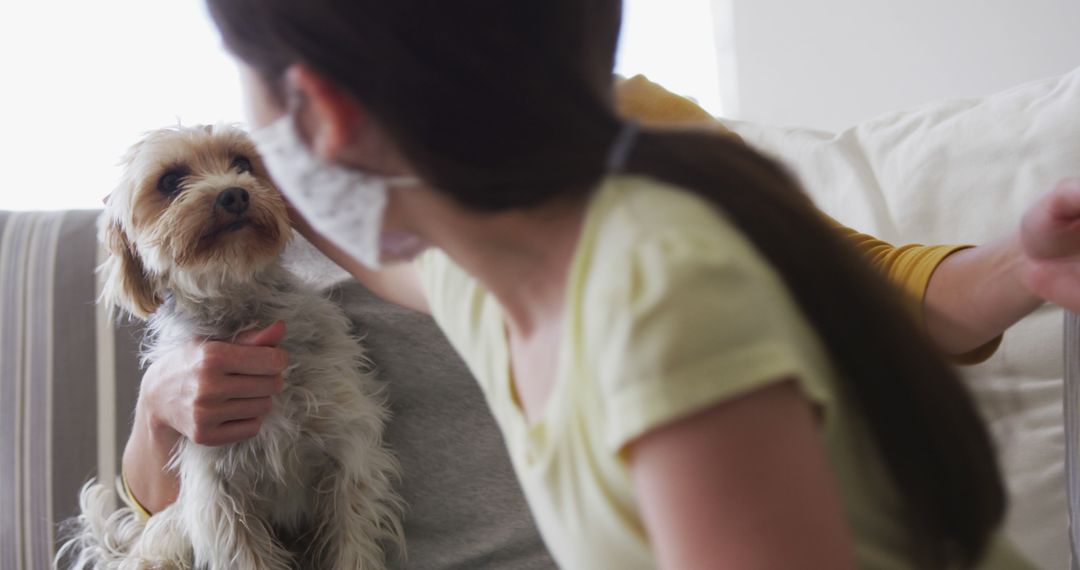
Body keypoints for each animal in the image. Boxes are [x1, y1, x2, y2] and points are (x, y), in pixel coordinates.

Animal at [60, 125, 406, 570]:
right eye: (169, 181)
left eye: (242, 163)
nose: (234, 195)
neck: (240, 307)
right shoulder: (217, 496)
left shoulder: (348, 461)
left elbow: (350, 548)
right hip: (170, 535)